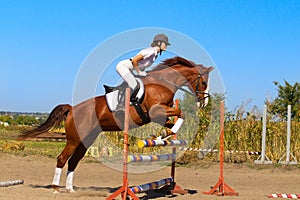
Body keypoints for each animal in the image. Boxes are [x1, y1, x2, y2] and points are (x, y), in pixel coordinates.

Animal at [18, 55, 213, 192]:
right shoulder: (156, 111)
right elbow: (182, 113)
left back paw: (70, 189)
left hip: (86, 139)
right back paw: (56, 189)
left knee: (73, 161)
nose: (204, 103)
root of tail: (72, 109)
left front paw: (163, 136)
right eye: (203, 82)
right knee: (62, 158)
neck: (162, 83)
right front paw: (166, 134)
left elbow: (173, 121)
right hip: (74, 139)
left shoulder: (160, 114)